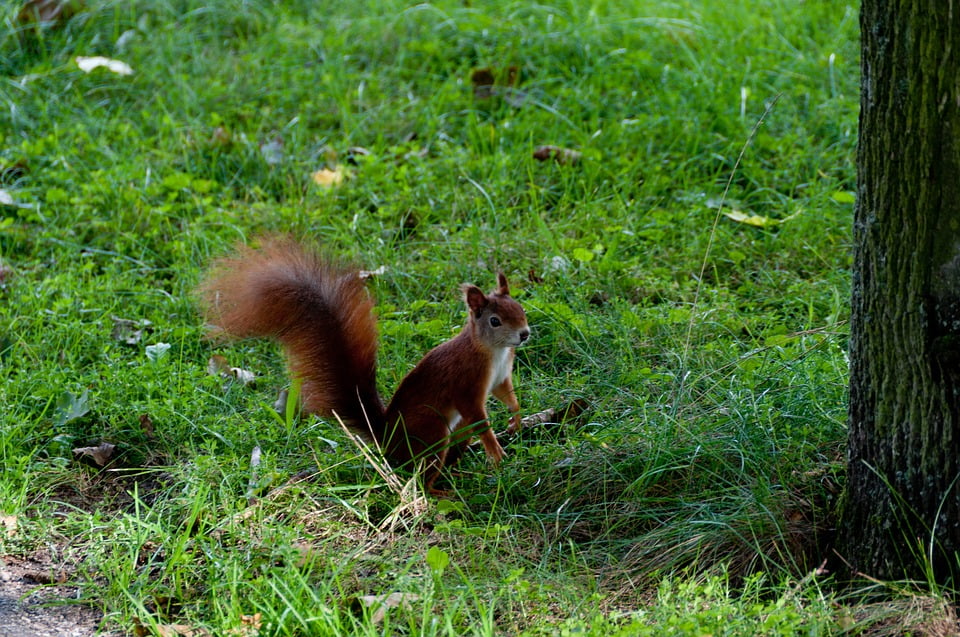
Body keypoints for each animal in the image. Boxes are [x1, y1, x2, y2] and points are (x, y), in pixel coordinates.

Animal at [197, 236, 531, 494]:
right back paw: (438, 491)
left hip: (454, 435)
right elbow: (478, 416)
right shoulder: (466, 382)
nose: (525, 334)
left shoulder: (501, 377)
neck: (495, 351)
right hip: (433, 431)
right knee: (421, 474)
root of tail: (387, 439)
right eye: (495, 321)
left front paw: (515, 419)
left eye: (520, 308)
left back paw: (455, 475)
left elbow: (508, 396)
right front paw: (494, 449)